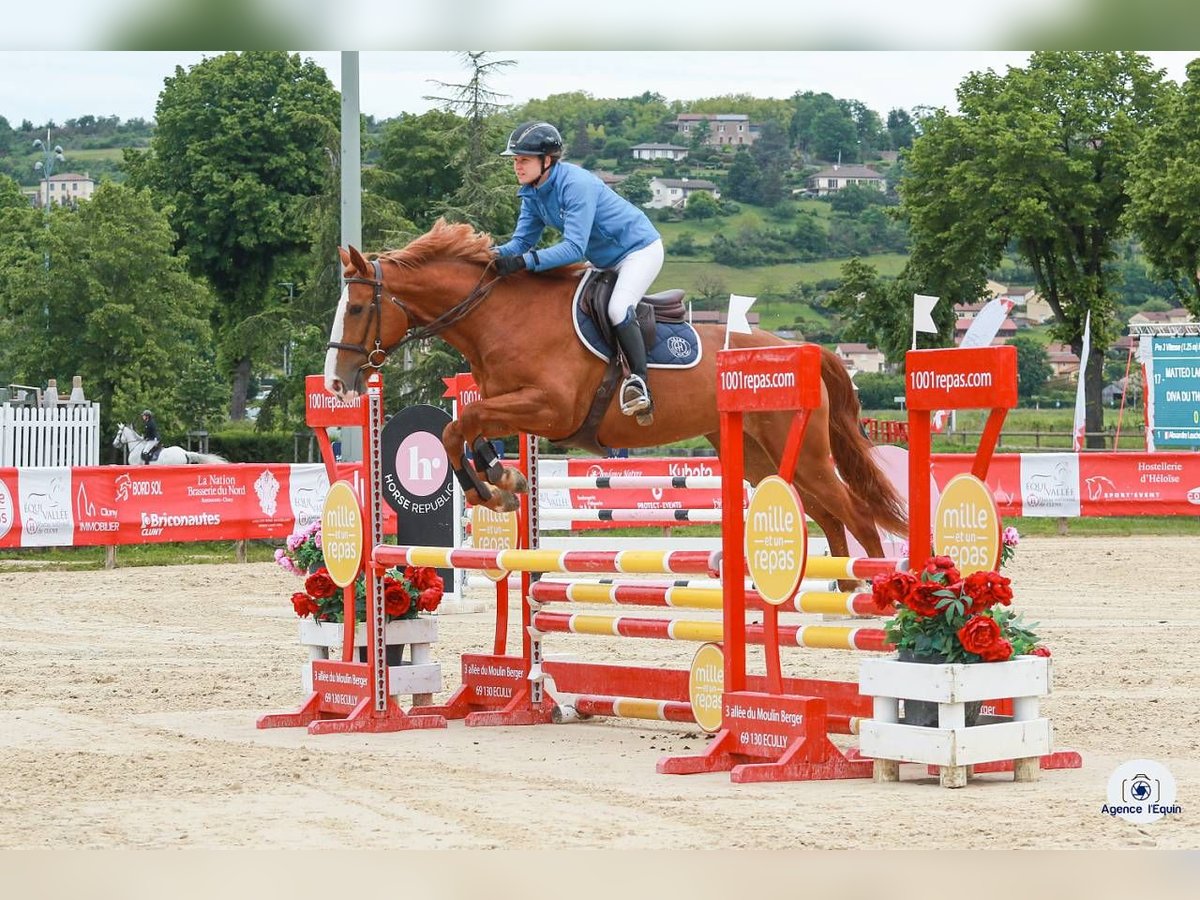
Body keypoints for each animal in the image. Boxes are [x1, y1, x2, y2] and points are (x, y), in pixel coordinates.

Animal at [324, 218, 902, 564]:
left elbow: (456, 427)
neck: (502, 318)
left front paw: (489, 491)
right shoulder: (510, 406)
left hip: (803, 452)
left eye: (358, 308)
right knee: (828, 517)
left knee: (855, 515)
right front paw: (503, 482)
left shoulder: (550, 410)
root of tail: (803, 349)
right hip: (763, 458)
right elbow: (465, 429)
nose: (336, 380)